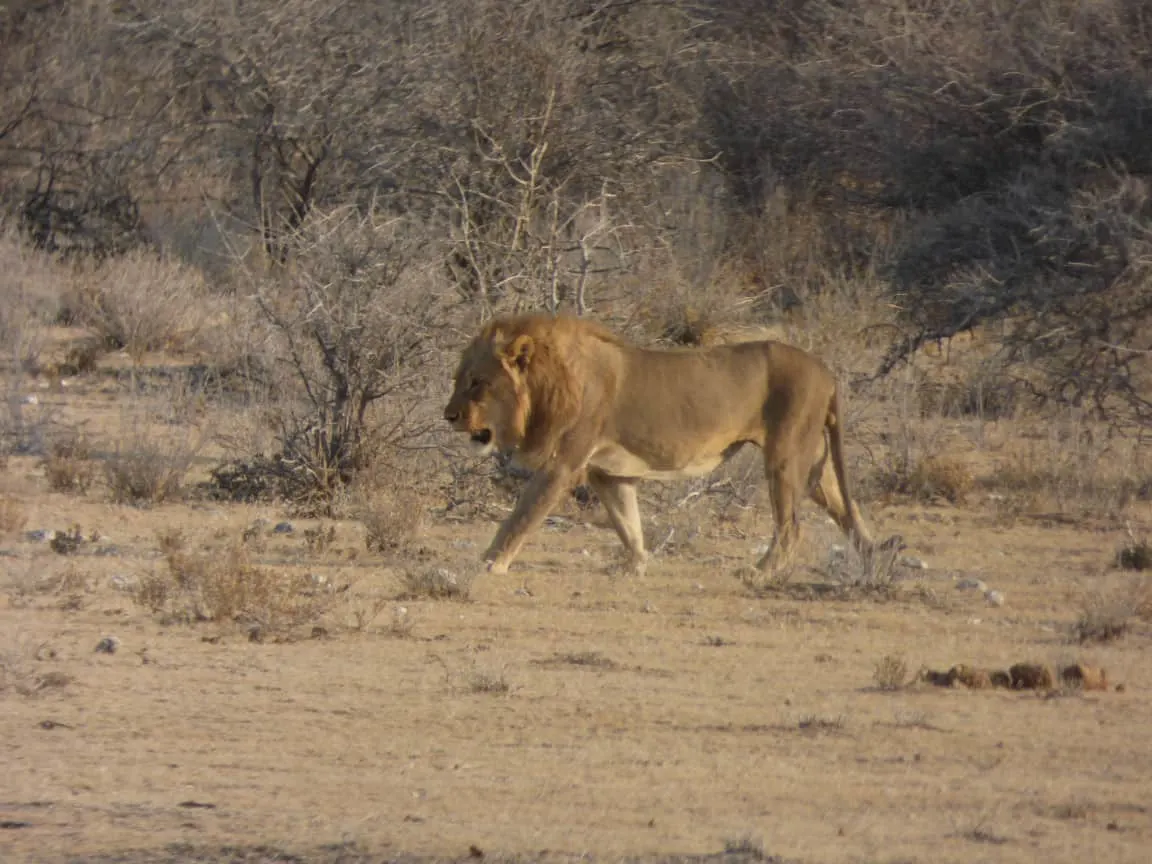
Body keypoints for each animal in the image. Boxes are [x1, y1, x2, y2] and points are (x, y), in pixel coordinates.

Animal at [444, 315, 884, 578]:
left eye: (477, 383)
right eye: (458, 379)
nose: (449, 416)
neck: (545, 387)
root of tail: (827, 371)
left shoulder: (562, 465)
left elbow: (520, 517)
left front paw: (490, 563)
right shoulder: (609, 473)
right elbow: (628, 523)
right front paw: (636, 566)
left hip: (784, 456)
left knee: (791, 526)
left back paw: (760, 570)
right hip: (814, 465)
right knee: (849, 511)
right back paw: (875, 560)